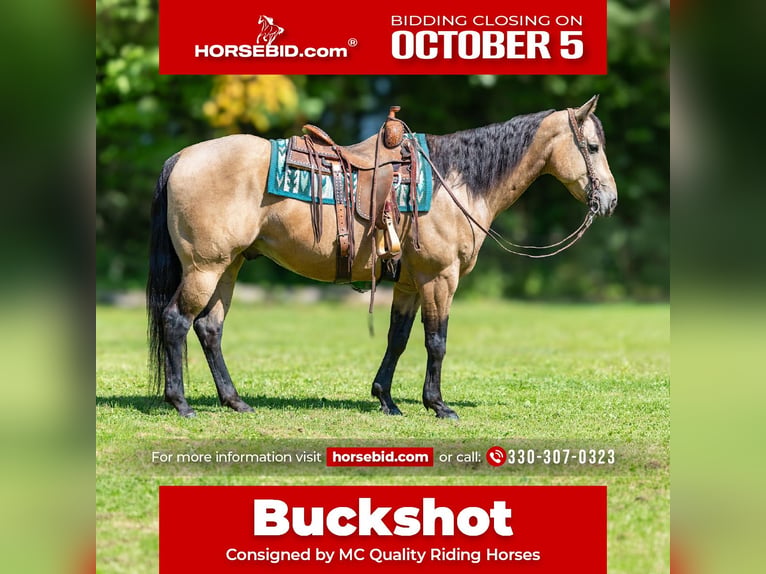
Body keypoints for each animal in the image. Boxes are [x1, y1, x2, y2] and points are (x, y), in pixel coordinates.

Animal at [147, 96, 617, 419]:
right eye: (593, 147)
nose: (610, 201)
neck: (453, 182)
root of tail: (182, 157)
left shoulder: (410, 281)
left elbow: (398, 338)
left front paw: (386, 399)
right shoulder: (439, 278)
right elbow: (436, 341)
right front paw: (438, 405)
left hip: (229, 266)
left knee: (209, 328)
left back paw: (235, 401)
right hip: (205, 268)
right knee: (176, 321)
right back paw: (181, 403)